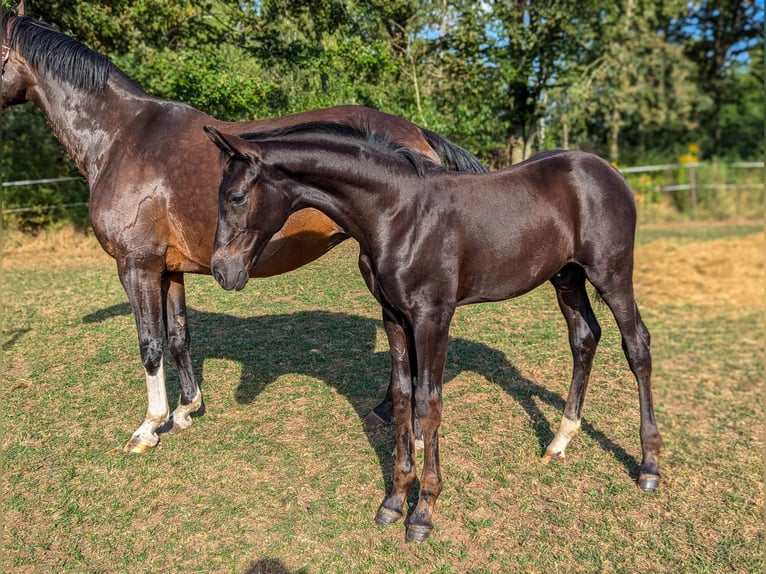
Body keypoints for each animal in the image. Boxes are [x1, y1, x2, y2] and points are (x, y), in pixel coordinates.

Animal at [1, 4, 486, 454]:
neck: (122, 137)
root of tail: (417, 135)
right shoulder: (169, 269)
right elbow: (179, 336)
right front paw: (186, 410)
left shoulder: (137, 266)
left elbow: (150, 343)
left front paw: (148, 428)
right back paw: (387, 410)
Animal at [207, 122, 664, 544]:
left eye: (236, 197)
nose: (223, 272)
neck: (398, 215)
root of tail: (608, 170)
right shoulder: (395, 315)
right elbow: (402, 397)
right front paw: (394, 502)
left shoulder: (433, 316)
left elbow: (429, 405)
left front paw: (423, 512)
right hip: (566, 277)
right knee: (584, 337)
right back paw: (559, 441)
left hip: (611, 274)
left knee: (637, 346)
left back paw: (649, 465)